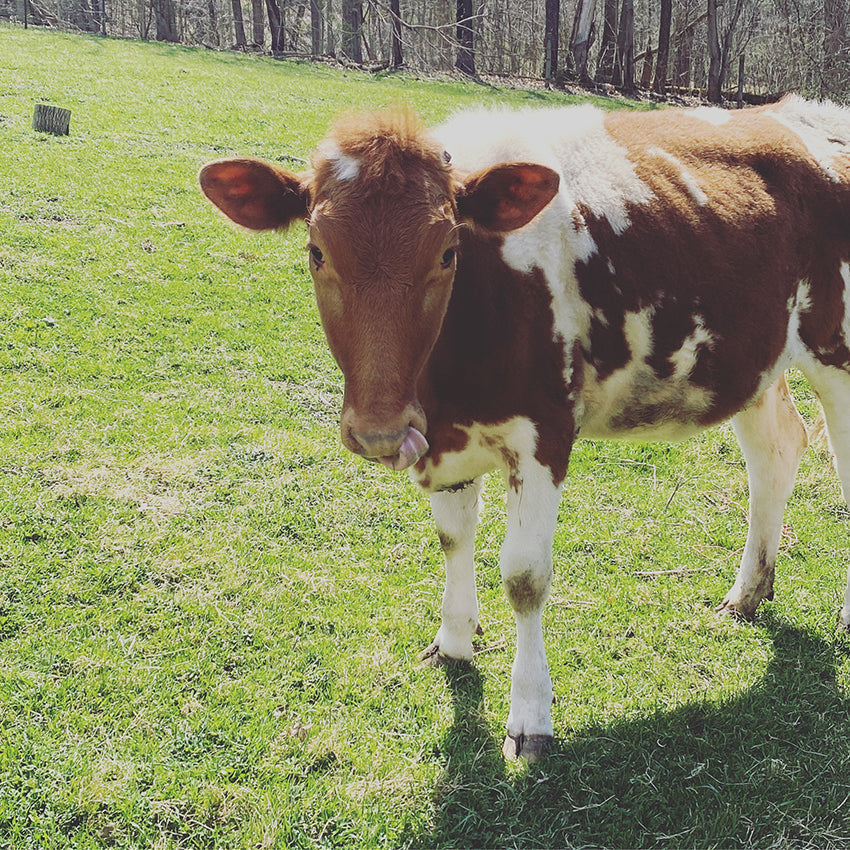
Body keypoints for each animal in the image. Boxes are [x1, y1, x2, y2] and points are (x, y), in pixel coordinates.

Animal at [200, 97, 850, 761]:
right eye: (317, 251)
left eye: (447, 252)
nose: (378, 430)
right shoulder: (444, 440)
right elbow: (453, 540)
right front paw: (454, 642)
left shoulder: (544, 433)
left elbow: (524, 576)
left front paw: (530, 714)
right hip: (754, 360)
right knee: (777, 452)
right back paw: (748, 593)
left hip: (837, 354)